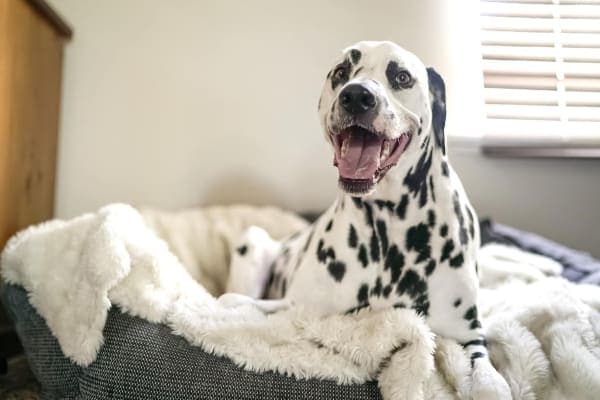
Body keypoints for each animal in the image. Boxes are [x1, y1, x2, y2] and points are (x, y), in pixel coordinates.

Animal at [220, 40, 510, 396]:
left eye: (402, 76)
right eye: (341, 72)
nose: (357, 96)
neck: (389, 228)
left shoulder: (467, 336)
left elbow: (490, 382)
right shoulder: (298, 309)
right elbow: (238, 303)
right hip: (253, 241)